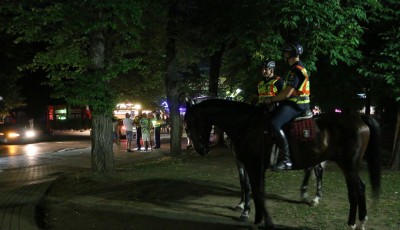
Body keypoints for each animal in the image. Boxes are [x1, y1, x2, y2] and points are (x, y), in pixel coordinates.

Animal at [184, 98, 382, 230]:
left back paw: (349, 222)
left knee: (353, 191)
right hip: (349, 166)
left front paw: (258, 220)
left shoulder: (253, 166)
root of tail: (360, 118)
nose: (200, 148)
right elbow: (255, 191)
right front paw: (256, 217)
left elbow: (256, 192)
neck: (247, 124)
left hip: (348, 165)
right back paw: (360, 222)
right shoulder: (252, 166)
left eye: (190, 123)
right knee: (360, 187)